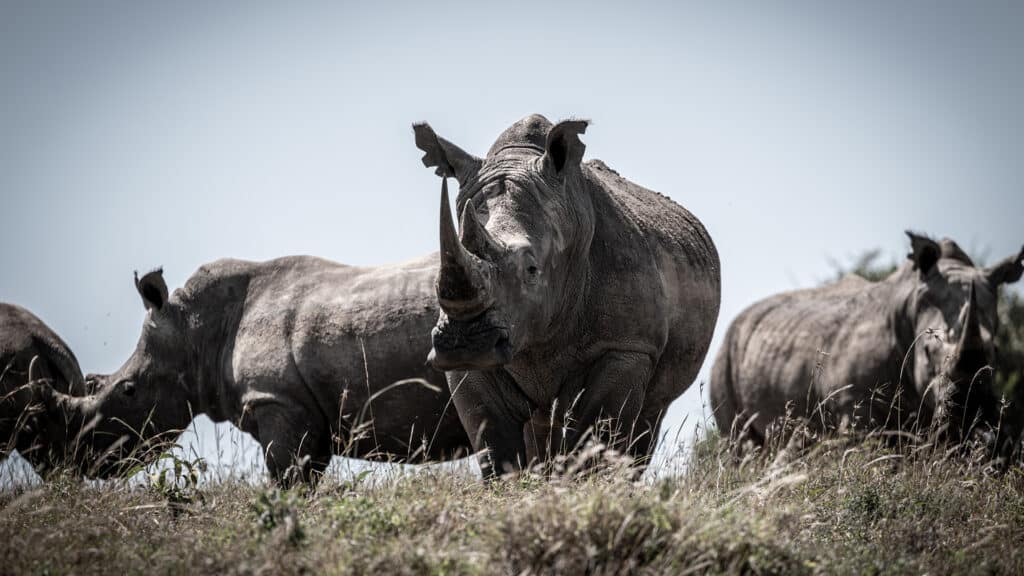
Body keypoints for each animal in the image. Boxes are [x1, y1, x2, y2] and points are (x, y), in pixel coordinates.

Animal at [33, 255, 472, 485]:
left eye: (128, 390)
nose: (81, 461)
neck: (195, 333)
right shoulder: (307, 413)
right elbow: (306, 476)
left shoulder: (278, 401)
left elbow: (287, 479)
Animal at [412, 114, 721, 477]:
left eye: (532, 269)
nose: (464, 344)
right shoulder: (468, 368)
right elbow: (496, 443)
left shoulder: (626, 347)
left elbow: (594, 437)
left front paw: (583, 484)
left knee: (649, 416)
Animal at [711, 233, 1024, 446]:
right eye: (926, 350)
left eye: (995, 350)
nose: (968, 411)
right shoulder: (855, 405)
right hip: (724, 355)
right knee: (741, 445)